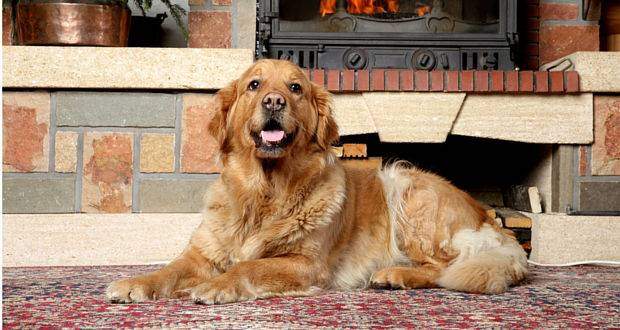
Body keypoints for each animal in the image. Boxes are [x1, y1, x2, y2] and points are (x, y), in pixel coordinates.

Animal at [106, 60, 528, 304]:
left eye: (295, 88)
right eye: (254, 85)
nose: (274, 101)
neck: (265, 192)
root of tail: (490, 219)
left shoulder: (305, 264)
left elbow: (249, 267)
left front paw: (217, 285)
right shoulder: (202, 254)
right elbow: (171, 269)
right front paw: (135, 282)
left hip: (406, 189)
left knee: (446, 267)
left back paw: (393, 274)